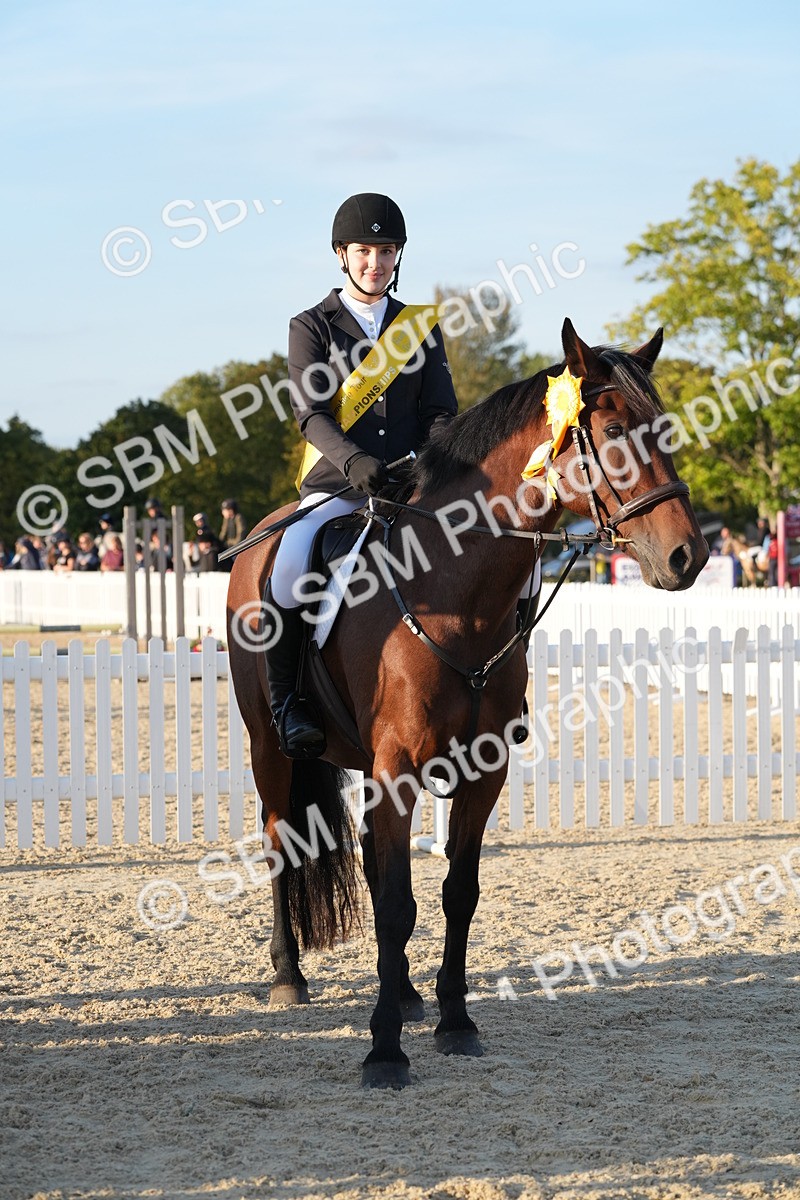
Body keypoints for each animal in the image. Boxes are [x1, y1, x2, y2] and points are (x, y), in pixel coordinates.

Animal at [226, 318, 709, 1089]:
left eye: (662, 429)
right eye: (609, 429)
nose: (688, 557)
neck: (453, 591)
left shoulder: (483, 773)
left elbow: (458, 893)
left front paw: (453, 1020)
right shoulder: (396, 769)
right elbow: (397, 905)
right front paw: (384, 1051)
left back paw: (405, 992)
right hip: (270, 746)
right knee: (280, 840)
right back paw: (288, 977)